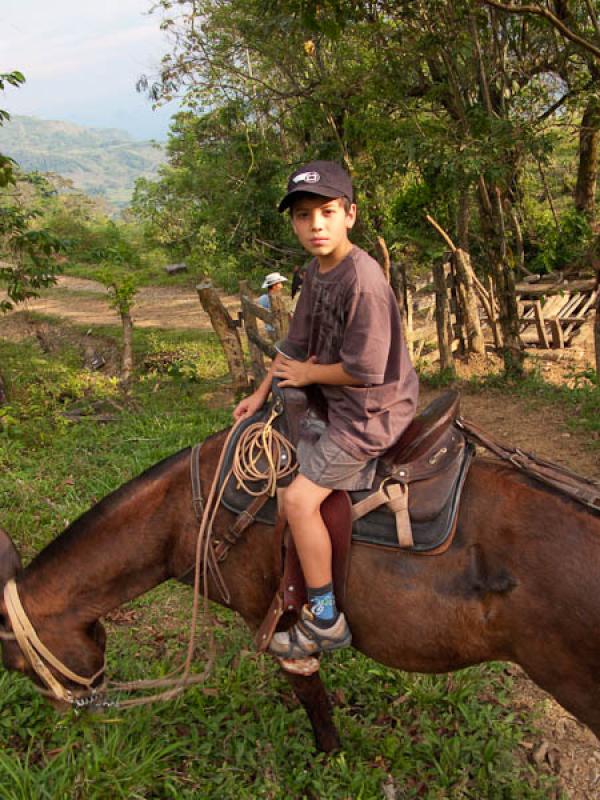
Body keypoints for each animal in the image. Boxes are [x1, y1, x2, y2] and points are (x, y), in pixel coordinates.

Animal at [1, 428, 600, 752]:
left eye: (15, 664)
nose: (79, 711)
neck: (184, 515)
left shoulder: (272, 622)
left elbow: (310, 694)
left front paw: (329, 754)